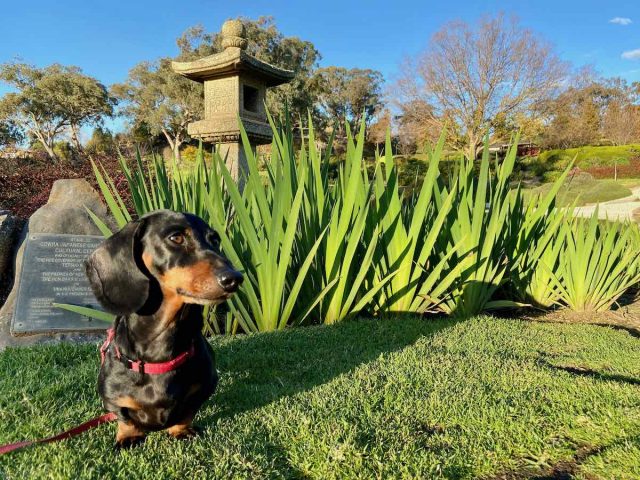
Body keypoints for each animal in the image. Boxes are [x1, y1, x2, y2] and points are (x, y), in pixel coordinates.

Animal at [85, 211, 242, 450]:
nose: (234, 278)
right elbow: (124, 417)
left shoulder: (205, 386)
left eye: (215, 240)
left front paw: (181, 430)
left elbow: (187, 412)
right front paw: (128, 436)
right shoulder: (111, 398)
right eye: (176, 237)